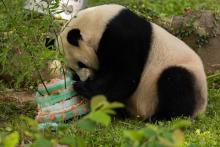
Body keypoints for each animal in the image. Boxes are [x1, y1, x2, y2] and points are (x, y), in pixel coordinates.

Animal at [57, 4, 208, 120]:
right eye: (73, 69)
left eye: (81, 64)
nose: (87, 78)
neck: (98, 23)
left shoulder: (123, 37)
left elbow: (123, 76)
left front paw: (84, 88)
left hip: (184, 75)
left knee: (177, 83)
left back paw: (161, 117)